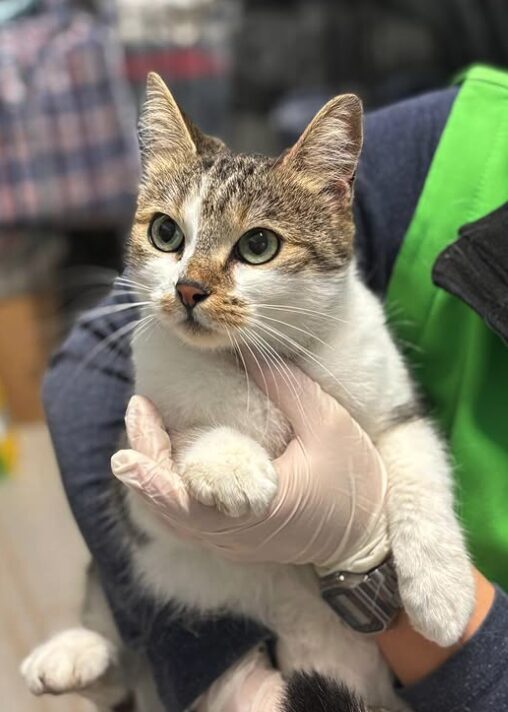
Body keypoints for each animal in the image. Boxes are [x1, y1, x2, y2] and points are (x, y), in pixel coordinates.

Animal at [18, 71, 472, 712]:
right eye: (166, 233)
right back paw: (74, 654)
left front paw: (442, 591)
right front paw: (229, 462)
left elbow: (418, 469)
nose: (187, 289)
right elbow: (165, 454)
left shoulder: (394, 406)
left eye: (258, 245)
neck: (257, 357)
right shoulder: (135, 486)